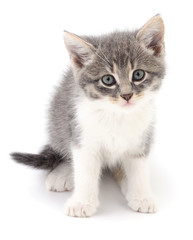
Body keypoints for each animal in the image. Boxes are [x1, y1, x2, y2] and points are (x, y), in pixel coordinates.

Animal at [10, 14, 165, 218]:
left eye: (138, 74)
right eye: (108, 79)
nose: (126, 95)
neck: (116, 116)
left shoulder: (141, 140)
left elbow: (138, 170)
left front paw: (141, 196)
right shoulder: (83, 136)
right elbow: (85, 171)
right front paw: (82, 202)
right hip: (58, 120)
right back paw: (63, 173)